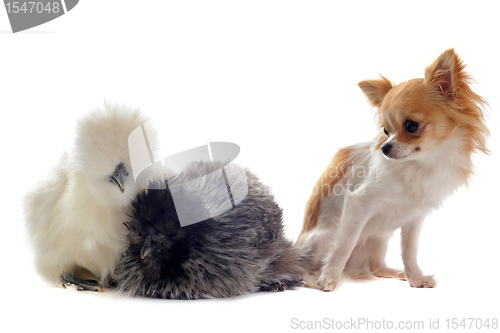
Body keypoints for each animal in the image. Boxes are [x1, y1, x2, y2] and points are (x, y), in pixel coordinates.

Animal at [296, 49, 488, 290]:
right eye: (385, 130)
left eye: (411, 125)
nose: (385, 148)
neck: (422, 163)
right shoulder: (358, 204)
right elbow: (344, 245)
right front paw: (328, 278)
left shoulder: (415, 216)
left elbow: (409, 250)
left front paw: (415, 278)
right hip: (324, 239)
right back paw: (315, 275)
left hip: (379, 240)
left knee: (376, 268)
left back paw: (397, 273)